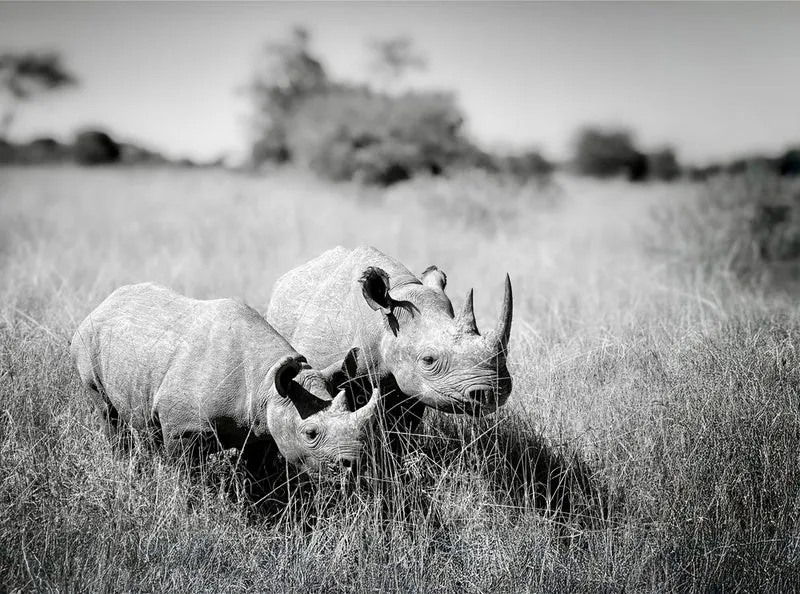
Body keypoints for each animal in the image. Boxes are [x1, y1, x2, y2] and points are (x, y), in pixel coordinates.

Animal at [70, 282, 378, 479]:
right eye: (310, 434)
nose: (354, 466)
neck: (266, 383)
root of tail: (103, 303)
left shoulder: (264, 425)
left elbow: (256, 474)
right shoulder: (184, 428)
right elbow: (186, 477)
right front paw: (187, 507)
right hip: (87, 338)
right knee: (107, 411)